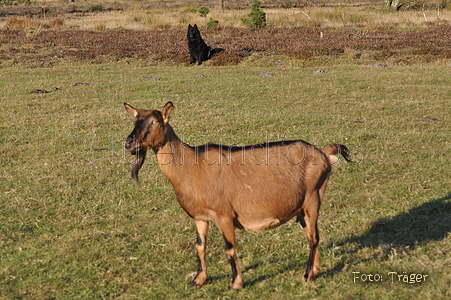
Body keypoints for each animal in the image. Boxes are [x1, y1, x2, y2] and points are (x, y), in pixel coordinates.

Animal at [124, 102, 354, 290]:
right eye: (135, 120)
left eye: (155, 121)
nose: (129, 143)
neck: (191, 166)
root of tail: (325, 154)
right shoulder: (200, 217)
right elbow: (200, 246)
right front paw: (199, 279)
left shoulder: (224, 214)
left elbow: (230, 248)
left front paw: (235, 283)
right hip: (302, 208)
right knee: (314, 235)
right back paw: (315, 271)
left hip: (313, 198)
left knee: (313, 238)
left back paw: (306, 275)